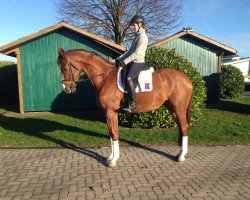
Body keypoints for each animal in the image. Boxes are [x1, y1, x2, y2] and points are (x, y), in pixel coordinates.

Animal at [57, 48, 193, 167]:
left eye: (65, 68)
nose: (66, 88)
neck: (105, 78)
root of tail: (187, 79)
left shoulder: (110, 112)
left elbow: (114, 134)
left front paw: (113, 161)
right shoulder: (107, 112)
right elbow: (111, 133)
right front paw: (110, 158)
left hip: (179, 109)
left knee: (184, 127)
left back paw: (181, 157)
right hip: (172, 109)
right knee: (181, 128)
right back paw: (179, 154)